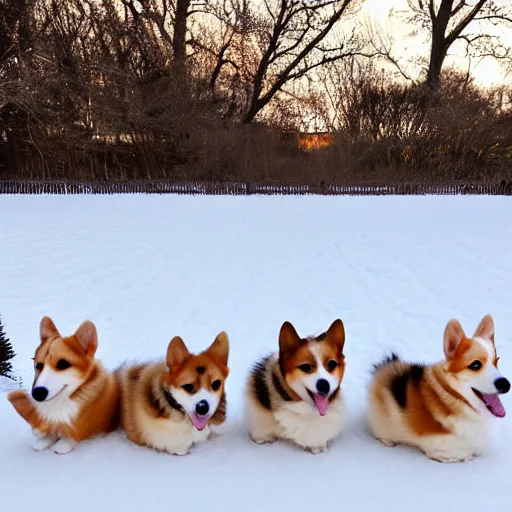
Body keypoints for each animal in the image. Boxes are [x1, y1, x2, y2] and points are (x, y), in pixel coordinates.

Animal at [6, 316, 120, 456]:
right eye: (39, 365)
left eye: (63, 364)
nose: (37, 393)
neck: (61, 399)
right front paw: (44, 439)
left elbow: (74, 430)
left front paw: (63, 443)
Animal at [370, 314, 510, 462]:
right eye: (475, 365)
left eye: (496, 361)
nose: (506, 384)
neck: (455, 397)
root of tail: (384, 367)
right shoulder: (441, 446)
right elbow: (465, 453)